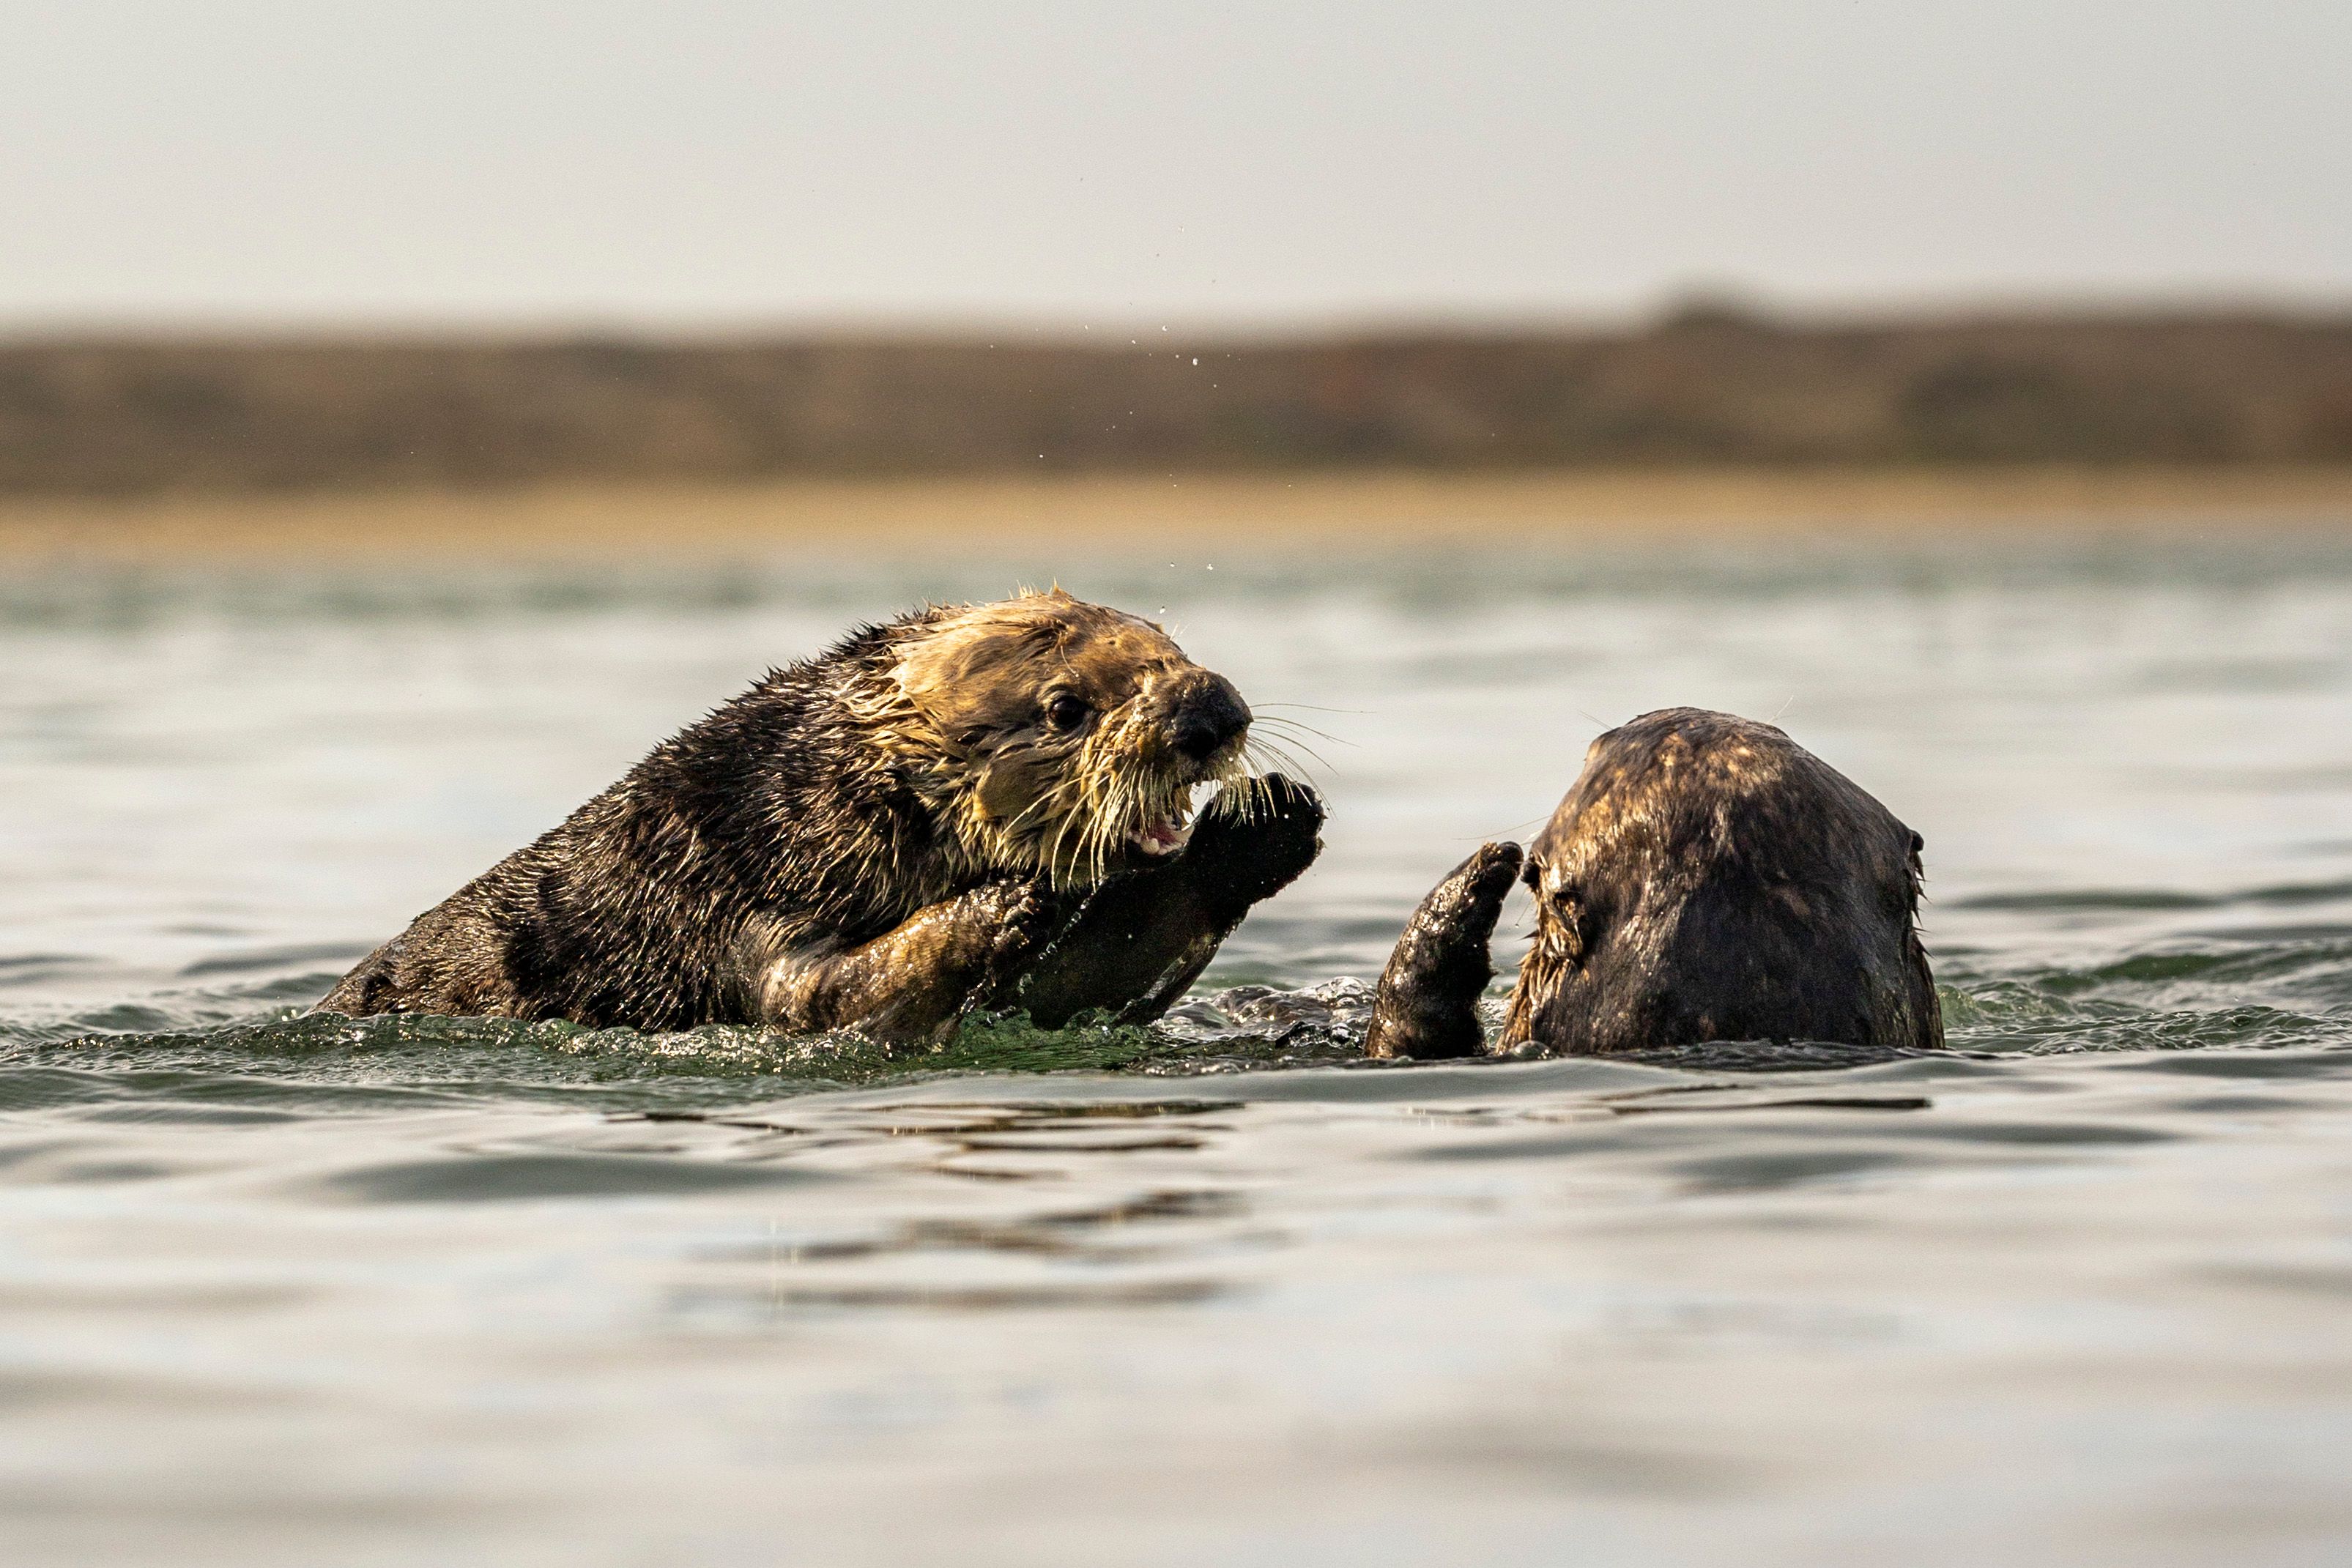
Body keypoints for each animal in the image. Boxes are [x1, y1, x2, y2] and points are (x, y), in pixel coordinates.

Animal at [317, 590, 1323, 1041]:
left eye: (1170, 644)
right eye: (1066, 706)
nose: (1212, 712)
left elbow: (1095, 976)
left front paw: (1265, 820)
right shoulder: (738, 899)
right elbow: (831, 996)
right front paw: (1003, 905)